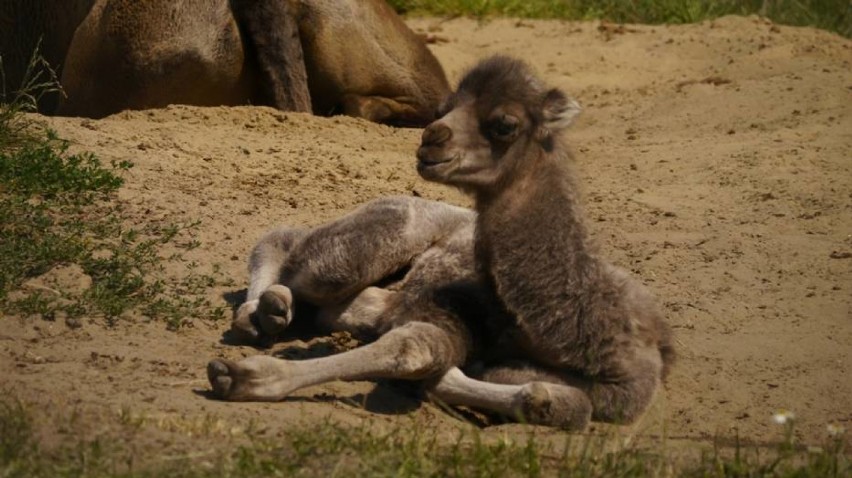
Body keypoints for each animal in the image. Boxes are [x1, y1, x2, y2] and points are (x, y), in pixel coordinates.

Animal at [206, 56, 672, 430]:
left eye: (505, 124)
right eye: (445, 108)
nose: (431, 138)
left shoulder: (626, 391)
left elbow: (572, 404)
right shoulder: (446, 305)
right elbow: (415, 346)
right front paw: (239, 376)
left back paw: (276, 311)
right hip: (386, 228)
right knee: (287, 242)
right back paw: (260, 313)